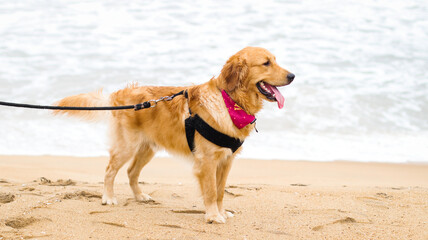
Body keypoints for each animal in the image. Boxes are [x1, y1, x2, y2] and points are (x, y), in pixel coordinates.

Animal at [54, 46, 294, 223]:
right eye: (266, 63)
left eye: (275, 60)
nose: (292, 75)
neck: (230, 102)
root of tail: (119, 94)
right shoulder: (207, 161)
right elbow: (210, 191)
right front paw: (213, 216)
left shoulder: (226, 160)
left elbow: (220, 191)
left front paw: (221, 211)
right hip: (126, 146)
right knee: (109, 170)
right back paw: (108, 197)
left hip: (147, 149)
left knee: (131, 172)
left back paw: (140, 196)